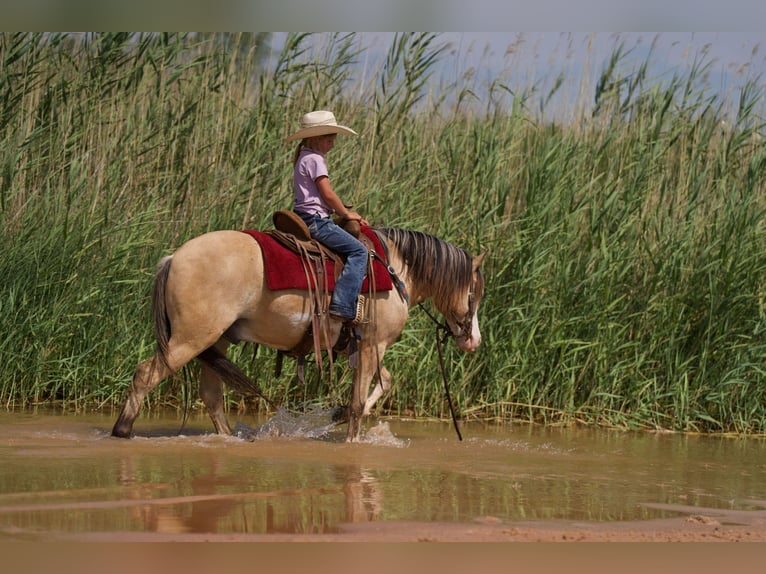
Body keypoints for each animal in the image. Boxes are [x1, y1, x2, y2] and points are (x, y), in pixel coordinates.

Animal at [111, 226, 487, 442]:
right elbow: (359, 401)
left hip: (214, 342)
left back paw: (229, 437)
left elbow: (384, 383)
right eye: (475, 292)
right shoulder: (373, 345)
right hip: (190, 340)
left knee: (211, 394)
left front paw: (338, 415)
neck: (395, 271)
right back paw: (122, 431)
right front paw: (351, 437)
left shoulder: (362, 348)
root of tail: (174, 258)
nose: (473, 340)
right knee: (145, 375)